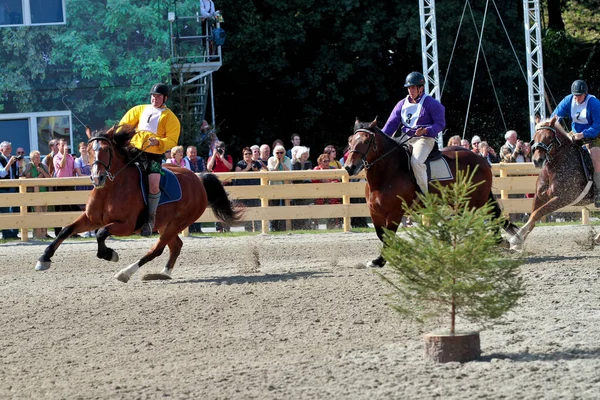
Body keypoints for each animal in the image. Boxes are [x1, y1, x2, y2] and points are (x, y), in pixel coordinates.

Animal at [34, 125, 241, 282]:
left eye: (106, 150)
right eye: (89, 151)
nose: (97, 177)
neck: (109, 190)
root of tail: (198, 180)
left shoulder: (126, 225)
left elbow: (101, 233)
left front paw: (110, 254)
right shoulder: (91, 219)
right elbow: (66, 230)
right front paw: (43, 259)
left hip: (177, 223)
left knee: (157, 250)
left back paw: (126, 273)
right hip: (165, 224)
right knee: (175, 246)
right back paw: (163, 273)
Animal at [344, 119, 516, 268]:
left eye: (366, 141)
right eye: (350, 141)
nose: (349, 167)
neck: (388, 174)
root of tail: (481, 159)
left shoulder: (395, 212)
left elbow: (389, 235)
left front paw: (384, 259)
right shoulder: (375, 211)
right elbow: (381, 234)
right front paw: (380, 260)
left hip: (472, 201)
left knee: (485, 215)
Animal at [506, 115, 600, 250]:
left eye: (550, 137)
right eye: (535, 137)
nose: (537, 160)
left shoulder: (562, 198)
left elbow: (537, 214)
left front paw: (516, 238)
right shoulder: (539, 196)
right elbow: (533, 216)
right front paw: (518, 243)